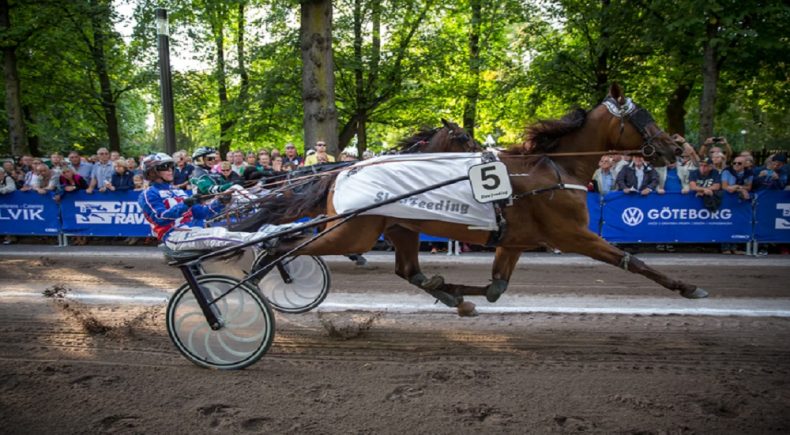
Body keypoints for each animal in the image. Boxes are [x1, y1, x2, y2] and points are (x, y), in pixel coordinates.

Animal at [246, 84, 704, 316]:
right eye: (643, 117)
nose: (672, 149)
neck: (553, 169)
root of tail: (343, 171)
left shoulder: (514, 240)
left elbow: (496, 288)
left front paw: (451, 288)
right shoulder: (573, 234)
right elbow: (633, 260)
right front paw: (688, 287)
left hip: (399, 228)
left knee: (408, 270)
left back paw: (452, 297)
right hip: (351, 232)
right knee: (285, 246)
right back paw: (259, 278)